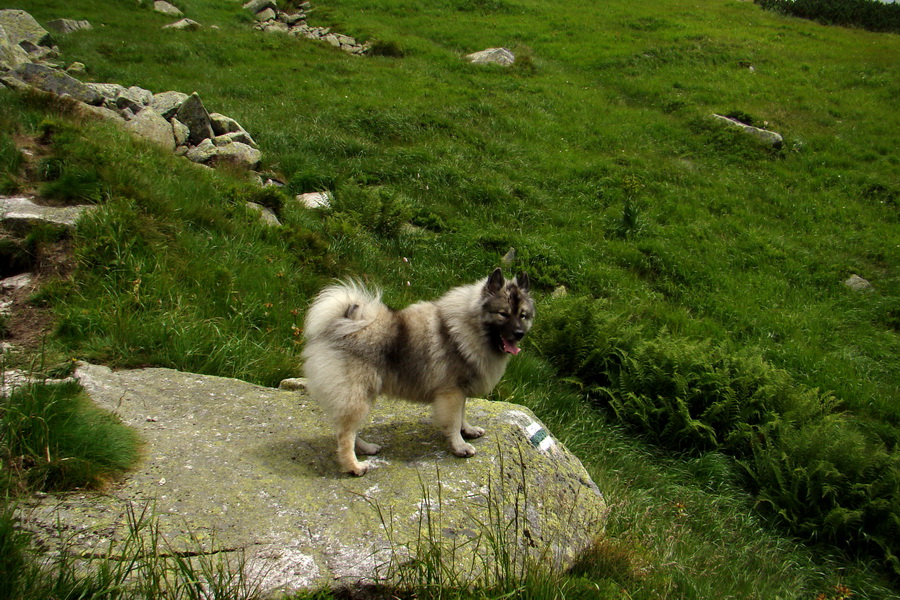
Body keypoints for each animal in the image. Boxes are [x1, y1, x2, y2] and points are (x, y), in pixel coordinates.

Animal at [302, 270, 536, 476]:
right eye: (503, 314)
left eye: (522, 315)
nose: (519, 333)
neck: (469, 327)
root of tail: (341, 323)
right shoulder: (451, 393)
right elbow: (453, 422)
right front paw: (460, 446)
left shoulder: (460, 392)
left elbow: (462, 416)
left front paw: (468, 431)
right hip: (357, 395)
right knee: (345, 434)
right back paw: (354, 466)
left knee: (349, 430)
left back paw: (366, 448)